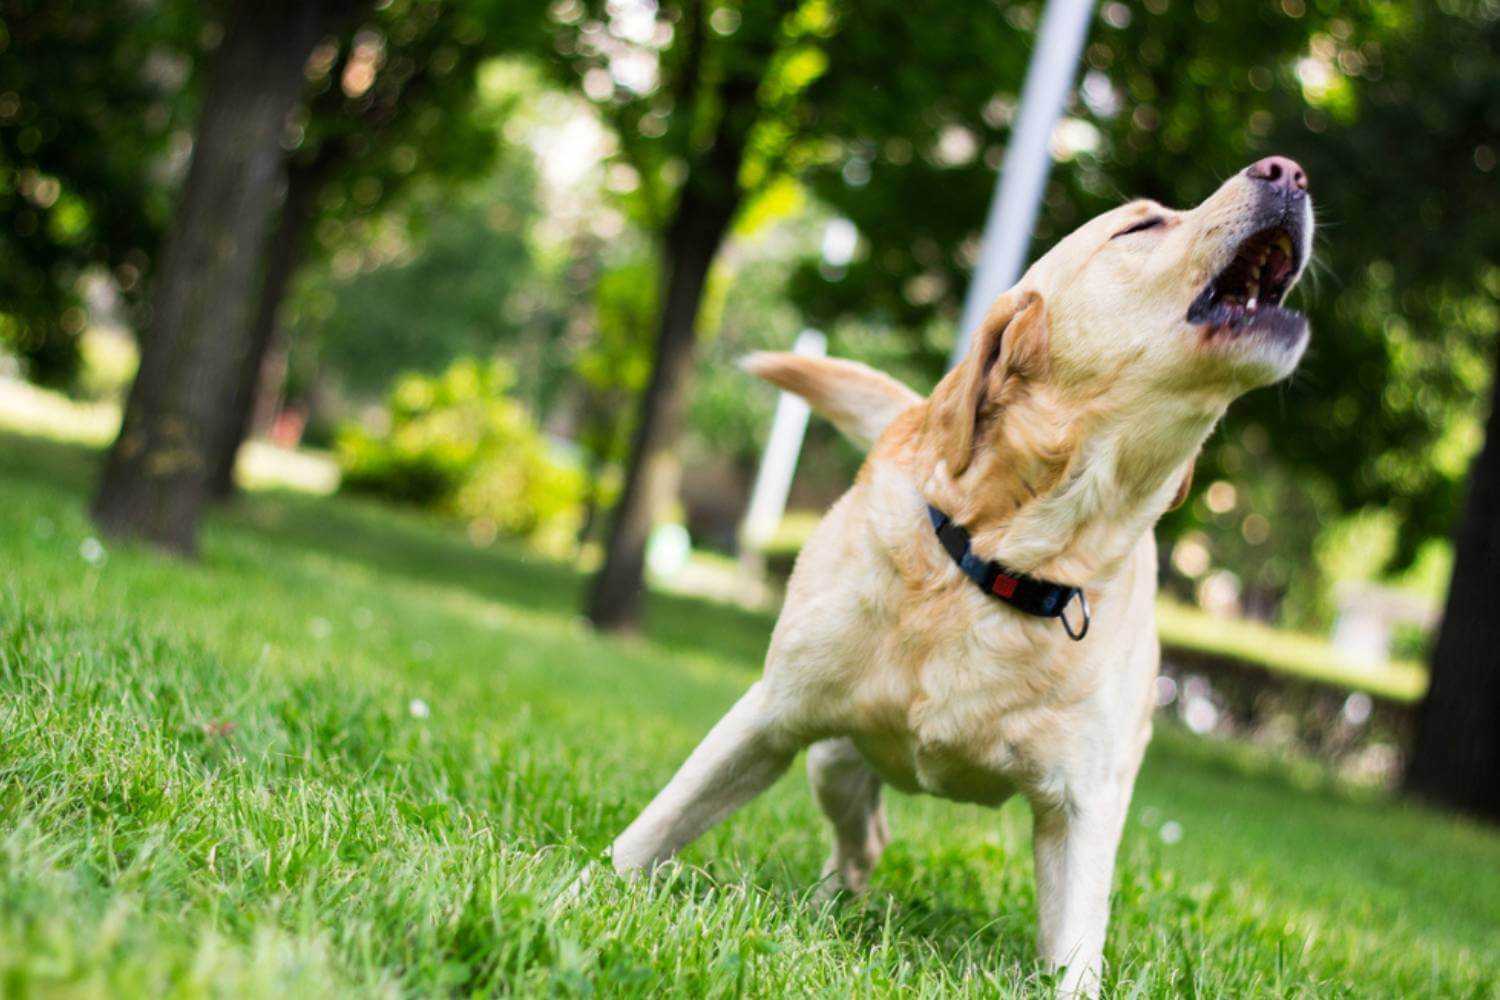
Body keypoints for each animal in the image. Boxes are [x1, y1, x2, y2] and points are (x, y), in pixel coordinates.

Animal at [609, 156, 1314, 995]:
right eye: (1141, 225)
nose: (1290, 171)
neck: (1007, 566)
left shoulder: (1083, 810)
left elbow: (1077, 953)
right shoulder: (769, 717)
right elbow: (651, 829)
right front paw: (583, 892)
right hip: (831, 759)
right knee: (862, 837)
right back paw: (827, 904)